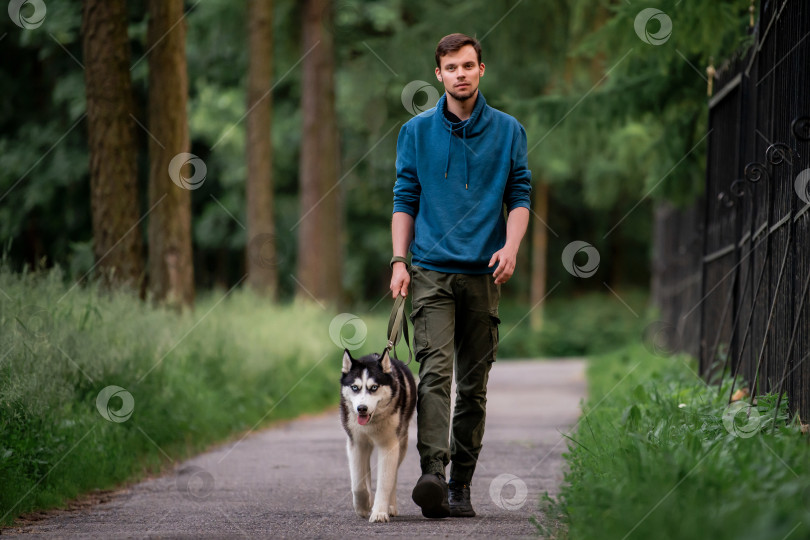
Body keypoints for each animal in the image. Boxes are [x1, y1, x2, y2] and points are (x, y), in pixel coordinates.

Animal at [340, 348, 416, 520]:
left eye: (374, 387)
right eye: (355, 387)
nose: (361, 408)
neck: (371, 424)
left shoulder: (389, 445)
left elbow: (385, 481)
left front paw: (380, 512)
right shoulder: (356, 444)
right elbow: (358, 483)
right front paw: (362, 506)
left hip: (401, 443)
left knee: (394, 476)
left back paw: (391, 506)